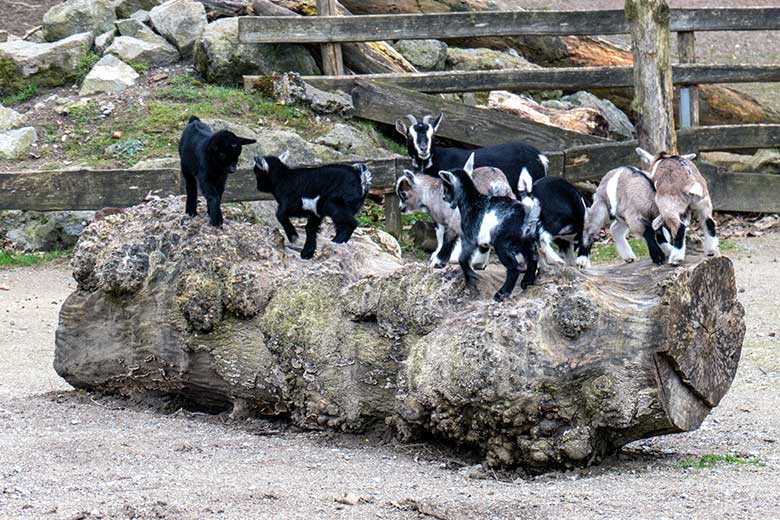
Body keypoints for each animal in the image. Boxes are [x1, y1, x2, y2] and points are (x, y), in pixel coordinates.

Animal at [436, 152, 540, 302]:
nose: (444, 198)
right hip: (528, 241)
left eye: (446, 187)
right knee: (533, 259)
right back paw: (527, 282)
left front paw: (471, 277)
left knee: (514, 267)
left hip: (502, 243)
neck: (472, 200)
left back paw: (501, 294)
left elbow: (462, 258)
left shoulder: (470, 237)